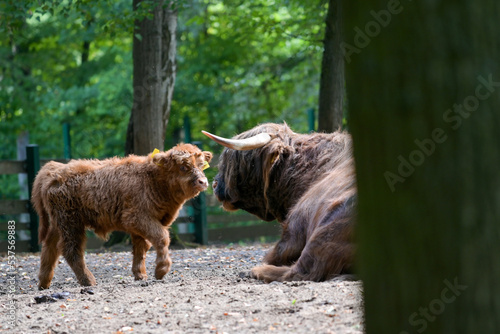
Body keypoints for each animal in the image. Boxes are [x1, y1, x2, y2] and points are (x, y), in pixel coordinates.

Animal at [31, 144, 211, 290]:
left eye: (201, 165)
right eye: (183, 166)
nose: (203, 182)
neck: (153, 178)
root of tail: (54, 170)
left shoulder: (144, 224)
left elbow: (141, 247)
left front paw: (140, 275)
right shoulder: (137, 218)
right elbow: (162, 238)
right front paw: (161, 270)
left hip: (58, 224)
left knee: (50, 247)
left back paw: (44, 283)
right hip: (71, 223)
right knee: (70, 250)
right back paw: (89, 281)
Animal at [203, 122, 356, 282]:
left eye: (237, 159)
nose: (214, 184)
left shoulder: (294, 228)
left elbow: (275, 254)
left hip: (328, 227)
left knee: (302, 270)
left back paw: (254, 271)